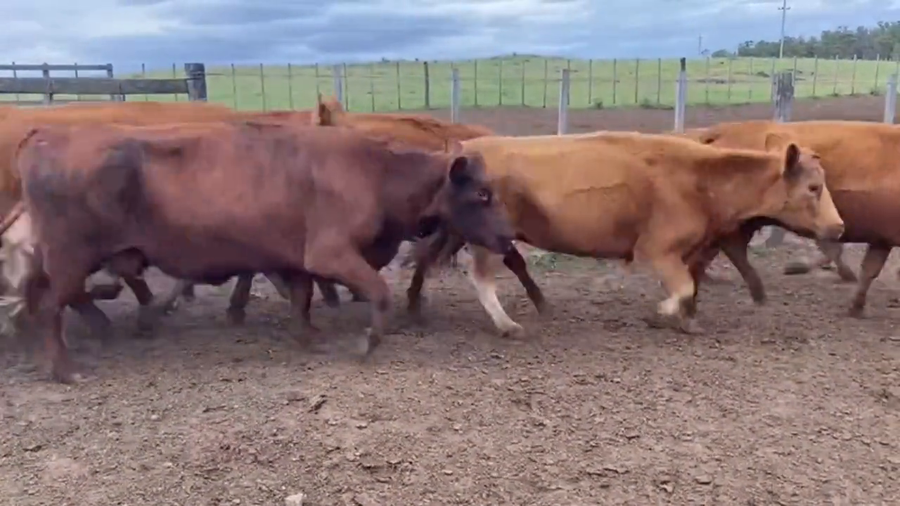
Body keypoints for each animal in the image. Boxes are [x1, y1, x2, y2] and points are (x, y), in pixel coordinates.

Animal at [11, 119, 514, 383]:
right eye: (482, 194)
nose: (509, 238)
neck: (375, 173)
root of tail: (47, 136)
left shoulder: (296, 260)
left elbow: (302, 298)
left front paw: (308, 335)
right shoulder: (330, 254)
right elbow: (378, 291)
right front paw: (367, 342)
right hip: (70, 258)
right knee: (50, 307)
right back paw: (65, 368)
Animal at [402, 130, 844, 337]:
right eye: (813, 188)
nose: (839, 227)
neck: (700, 180)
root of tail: (465, 149)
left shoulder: (690, 251)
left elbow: (691, 286)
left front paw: (688, 322)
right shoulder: (657, 250)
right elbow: (682, 288)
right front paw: (660, 314)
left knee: (428, 258)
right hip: (486, 239)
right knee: (481, 277)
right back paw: (506, 324)